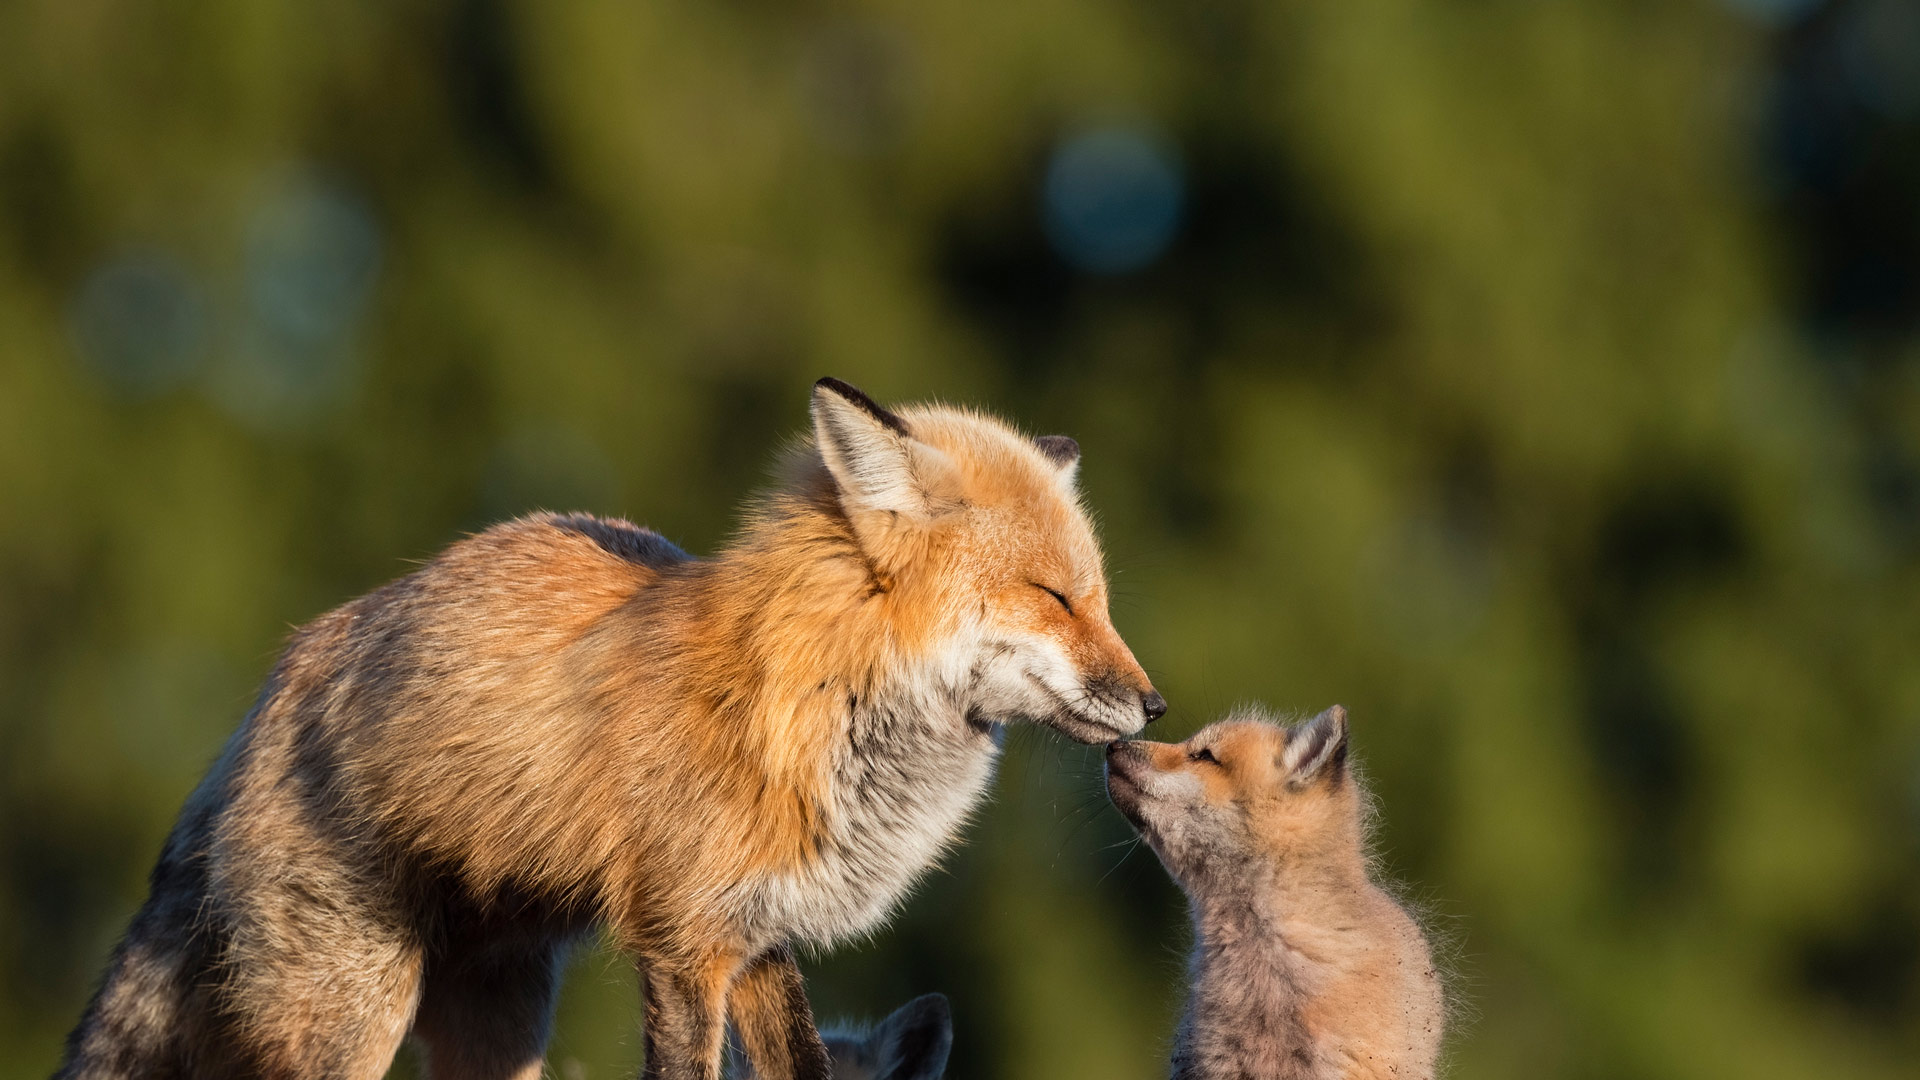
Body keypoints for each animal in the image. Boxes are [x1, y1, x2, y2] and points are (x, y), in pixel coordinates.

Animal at [60, 378, 1159, 1076]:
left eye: (1102, 600)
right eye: (1056, 597)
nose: (1153, 707)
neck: (804, 698)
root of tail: (274, 684)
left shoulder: (757, 938)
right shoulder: (683, 943)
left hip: (500, 1024)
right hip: (350, 1011)